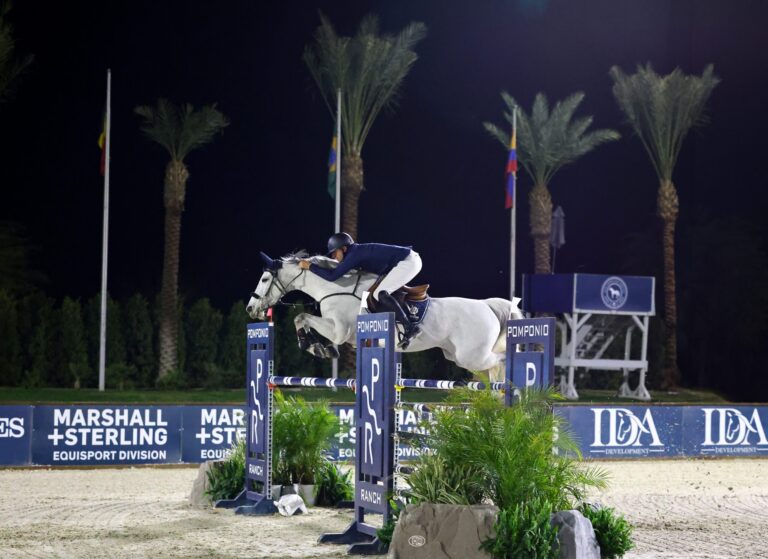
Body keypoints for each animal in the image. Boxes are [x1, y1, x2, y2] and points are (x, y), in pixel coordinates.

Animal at [246, 254, 520, 384]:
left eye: (265, 279)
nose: (250, 308)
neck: (334, 287)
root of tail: (487, 306)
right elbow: (301, 319)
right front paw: (318, 347)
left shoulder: (339, 330)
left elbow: (302, 317)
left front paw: (315, 347)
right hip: (459, 356)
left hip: (471, 355)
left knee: (501, 360)